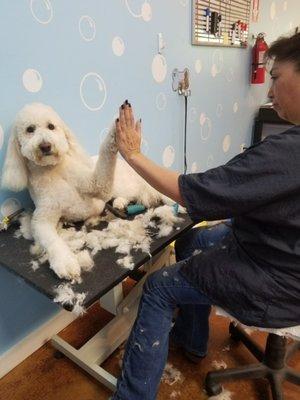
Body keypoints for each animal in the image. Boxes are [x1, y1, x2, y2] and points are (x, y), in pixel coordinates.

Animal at [1, 103, 172, 282]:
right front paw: (65, 263)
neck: (52, 171)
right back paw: (120, 202)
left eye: (51, 126)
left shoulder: (96, 184)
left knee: (149, 187)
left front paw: (116, 128)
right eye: (30, 129)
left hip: (126, 184)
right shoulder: (41, 220)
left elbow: (106, 152)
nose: (45, 146)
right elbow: (51, 240)